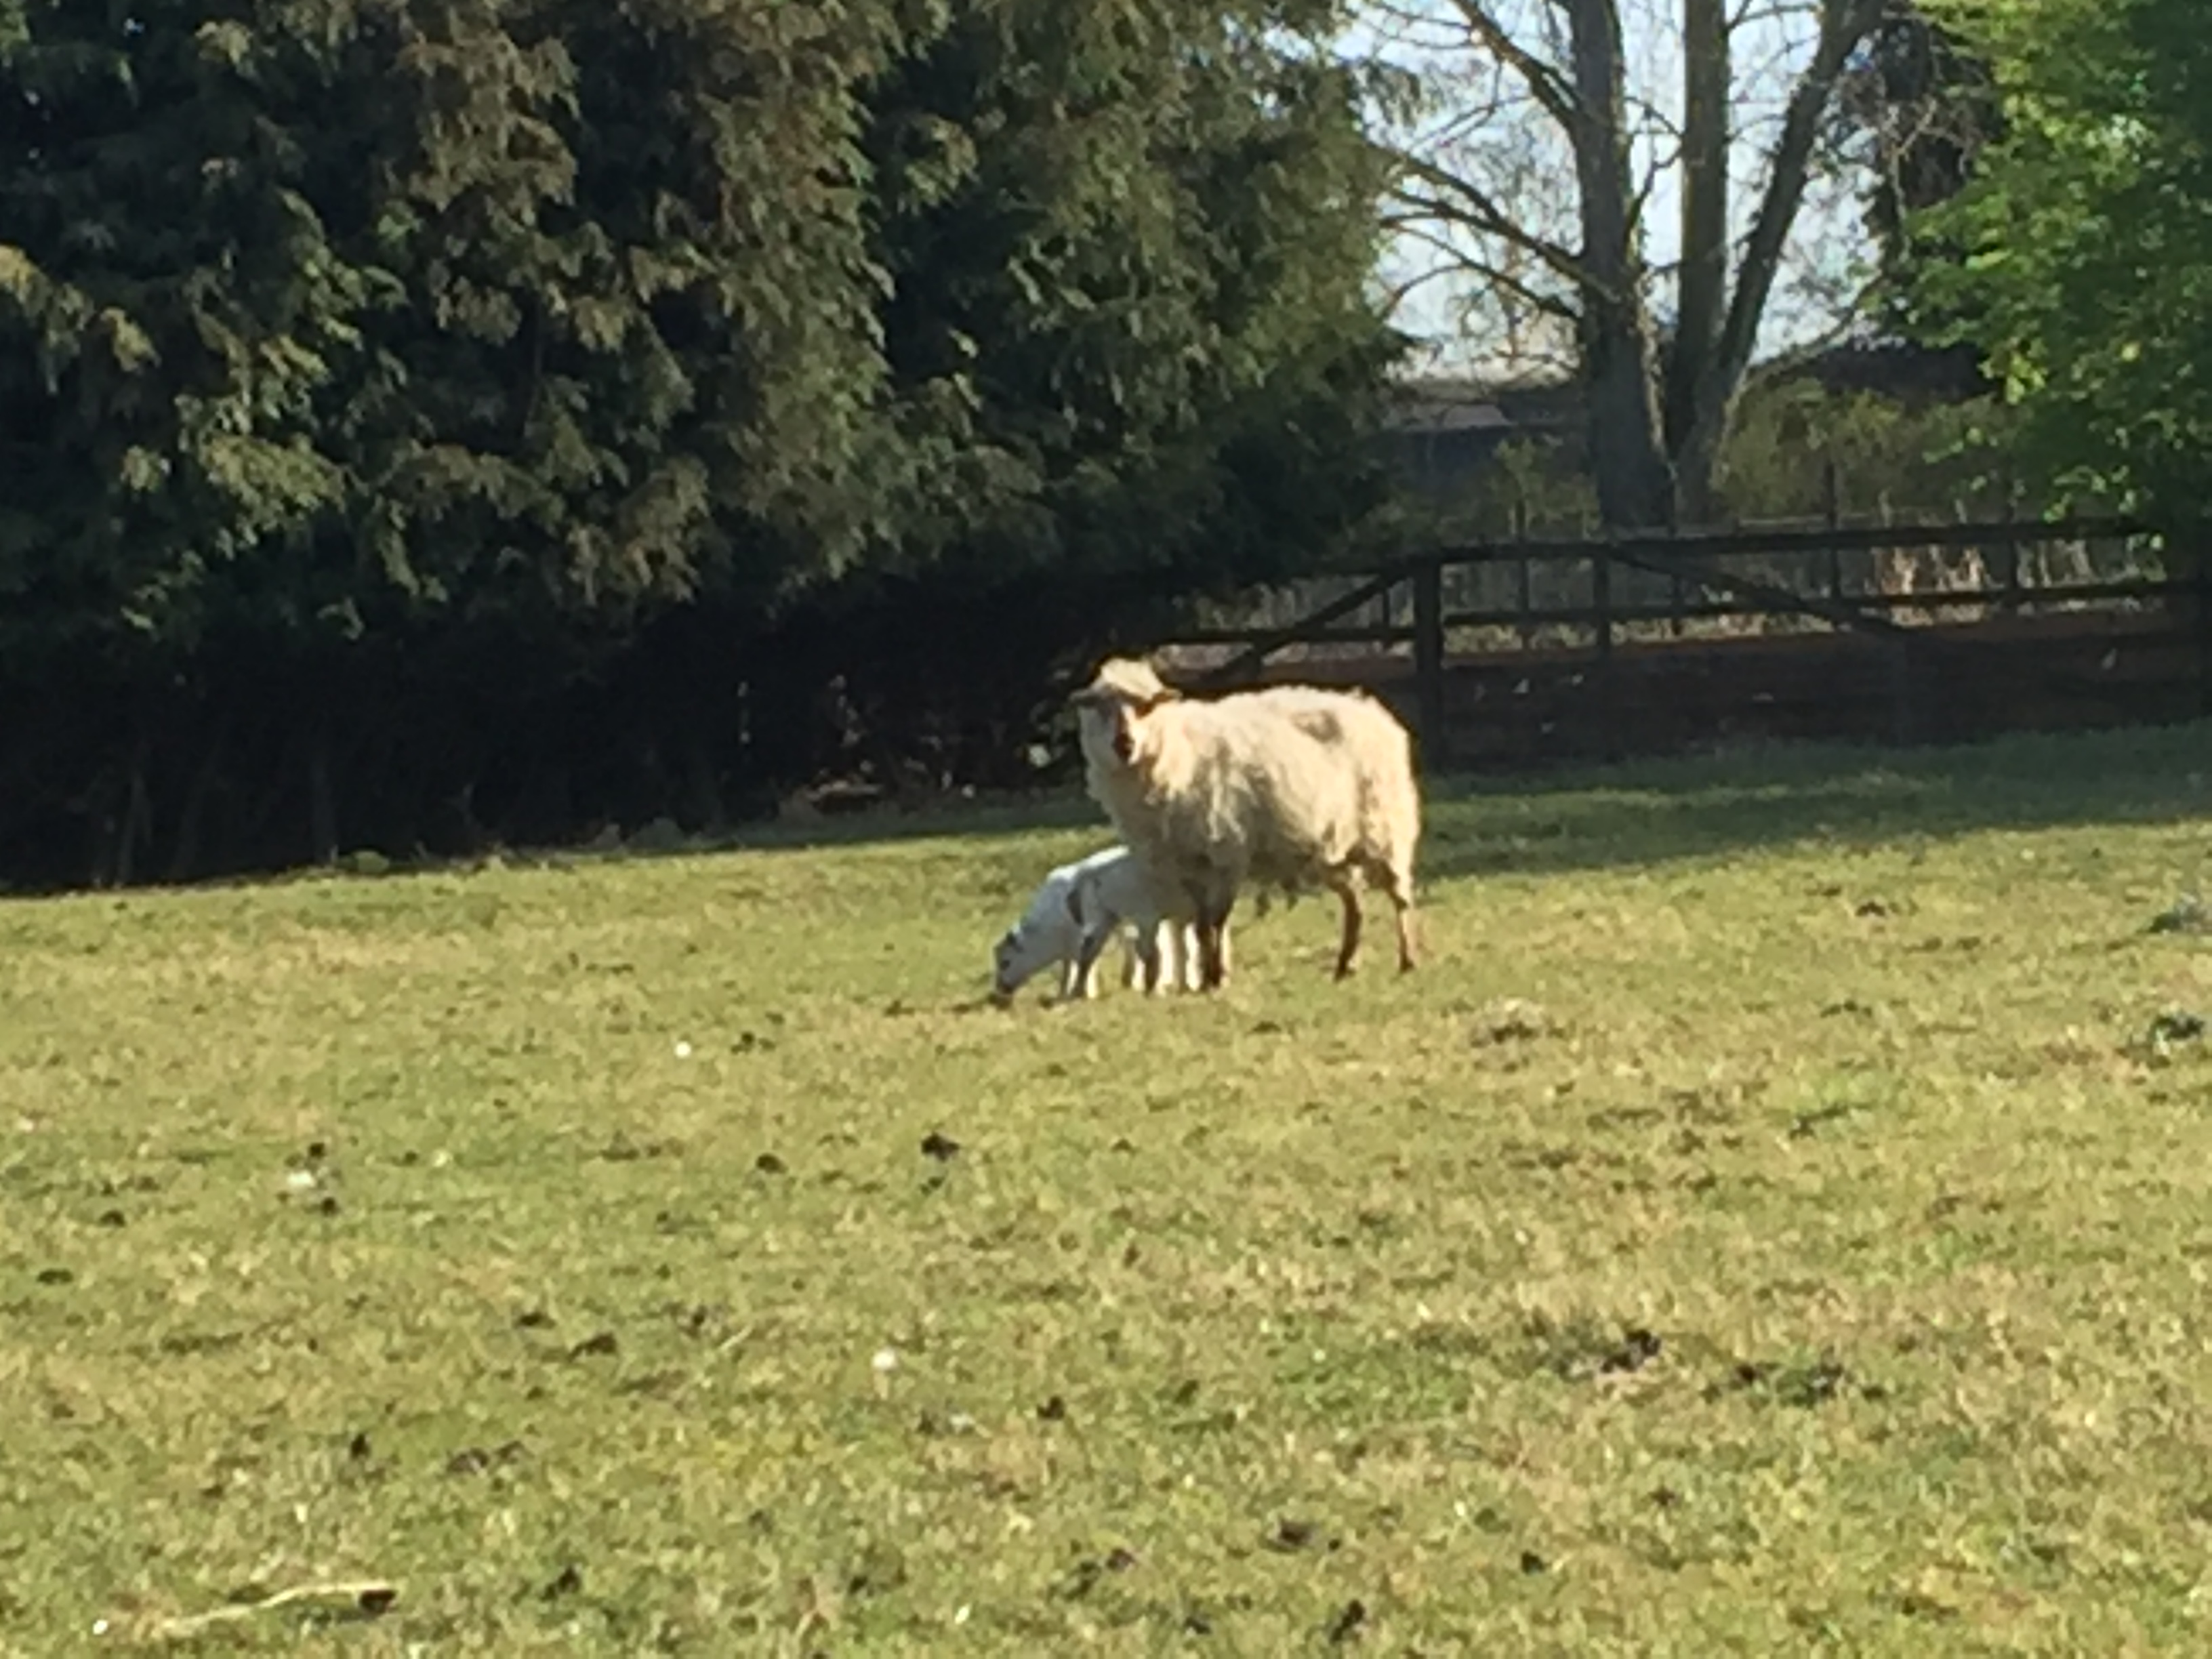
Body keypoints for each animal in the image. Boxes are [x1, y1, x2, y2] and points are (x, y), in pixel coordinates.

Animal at [991, 849, 1212, 1008]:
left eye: (1005, 962)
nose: (1000, 989)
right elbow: (1075, 965)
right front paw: (1066, 994)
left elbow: (1083, 961)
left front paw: (1084, 993)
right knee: (1182, 947)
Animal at [1079, 655, 1425, 995]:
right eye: (1100, 709)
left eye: (1146, 707)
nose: (1124, 744)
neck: (1179, 753)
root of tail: (1370, 709)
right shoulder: (1186, 865)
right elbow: (1201, 926)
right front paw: (1208, 979)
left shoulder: (1228, 853)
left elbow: (1217, 921)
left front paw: (1217, 978)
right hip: (1331, 847)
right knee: (1355, 902)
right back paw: (1345, 967)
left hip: (1385, 825)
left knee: (1400, 895)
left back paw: (1408, 961)